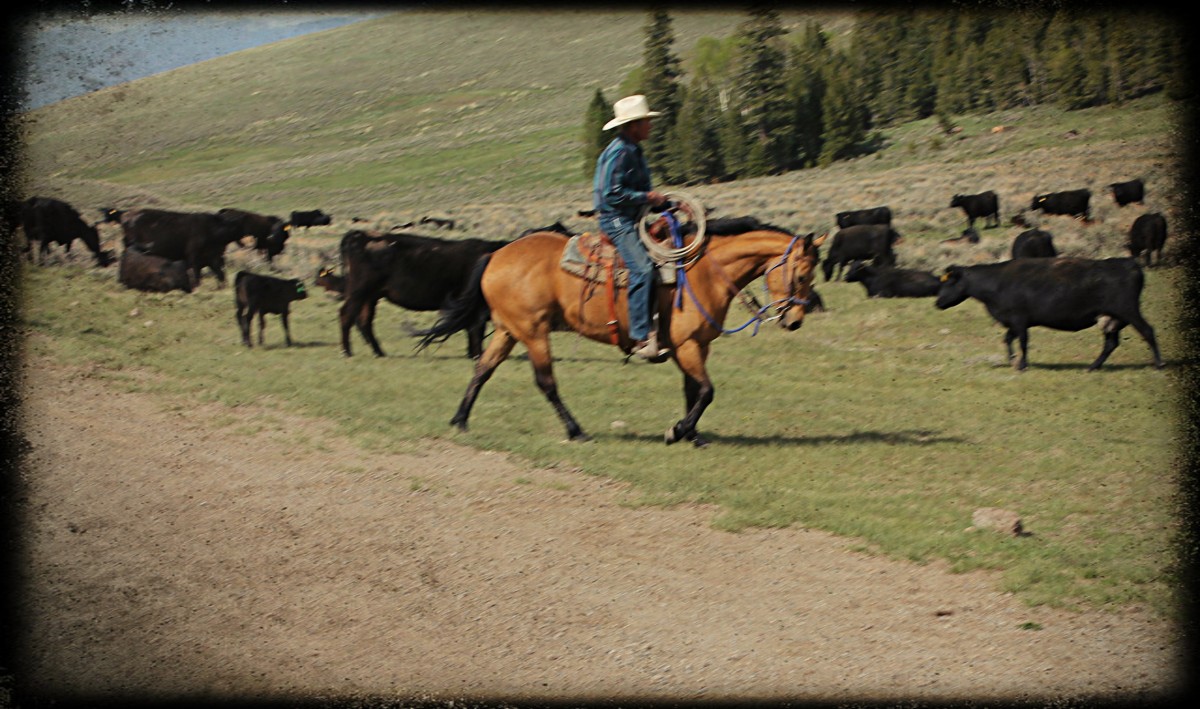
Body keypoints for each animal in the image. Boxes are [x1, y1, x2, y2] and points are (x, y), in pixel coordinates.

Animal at [338, 230, 511, 357]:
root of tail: (359, 235)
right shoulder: (474, 305)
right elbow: (476, 328)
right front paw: (476, 354)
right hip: (359, 291)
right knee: (346, 315)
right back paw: (347, 352)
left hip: (370, 296)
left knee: (364, 321)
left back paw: (379, 352)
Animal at [415, 227, 825, 446]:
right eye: (803, 274)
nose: (795, 321)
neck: (704, 275)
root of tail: (496, 255)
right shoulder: (687, 346)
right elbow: (707, 391)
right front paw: (678, 431)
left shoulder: (696, 347)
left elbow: (693, 390)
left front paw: (691, 434)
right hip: (533, 333)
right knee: (546, 382)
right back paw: (576, 430)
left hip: (507, 330)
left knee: (483, 369)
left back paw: (460, 420)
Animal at [936, 259, 1161, 371]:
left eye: (949, 282)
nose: (937, 302)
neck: (997, 282)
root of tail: (1131, 264)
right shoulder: (1014, 322)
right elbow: (1008, 339)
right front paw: (1012, 360)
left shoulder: (1019, 320)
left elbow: (1023, 342)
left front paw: (1022, 364)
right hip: (1111, 318)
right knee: (1111, 344)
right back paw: (1092, 367)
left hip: (1128, 310)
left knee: (1148, 331)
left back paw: (1159, 364)